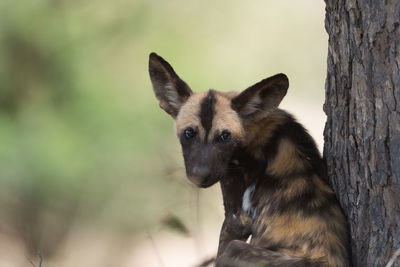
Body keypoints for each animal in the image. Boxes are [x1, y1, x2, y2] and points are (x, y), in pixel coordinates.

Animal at [148, 52, 348, 267]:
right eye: (189, 133)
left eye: (224, 136)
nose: (199, 175)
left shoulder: (237, 219)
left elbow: (220, 251)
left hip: (236, 248)